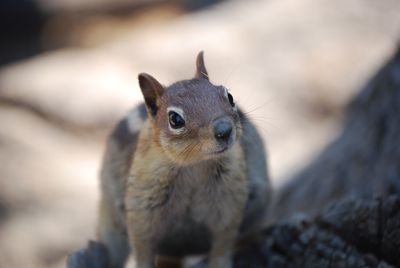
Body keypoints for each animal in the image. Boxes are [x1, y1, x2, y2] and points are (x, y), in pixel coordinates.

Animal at [98, 50, 270, 268]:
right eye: (175, 119)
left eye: (229, 97)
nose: (224, 130)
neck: (195, 166)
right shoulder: (142, 211)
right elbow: (142, 249)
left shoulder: (229, 205)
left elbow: (222, 245)